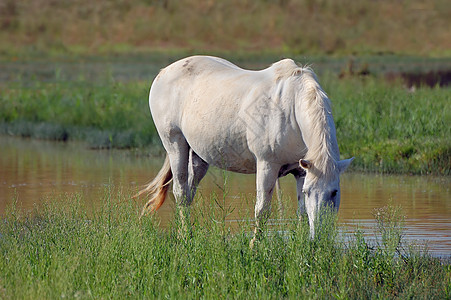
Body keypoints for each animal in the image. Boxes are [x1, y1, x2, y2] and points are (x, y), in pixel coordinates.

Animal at [138, 55, 354, 241]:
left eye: (335, 192)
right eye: (310, 192)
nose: (320, 237)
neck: (292, 108)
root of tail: (164, 72)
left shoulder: (301, 171)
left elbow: (302, 212)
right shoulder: (267, 165)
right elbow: (262, 210)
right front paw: (254, 246)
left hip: (199, 156)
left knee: (189, 193)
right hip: (175, 146)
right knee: (181, 192)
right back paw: (185, 237)